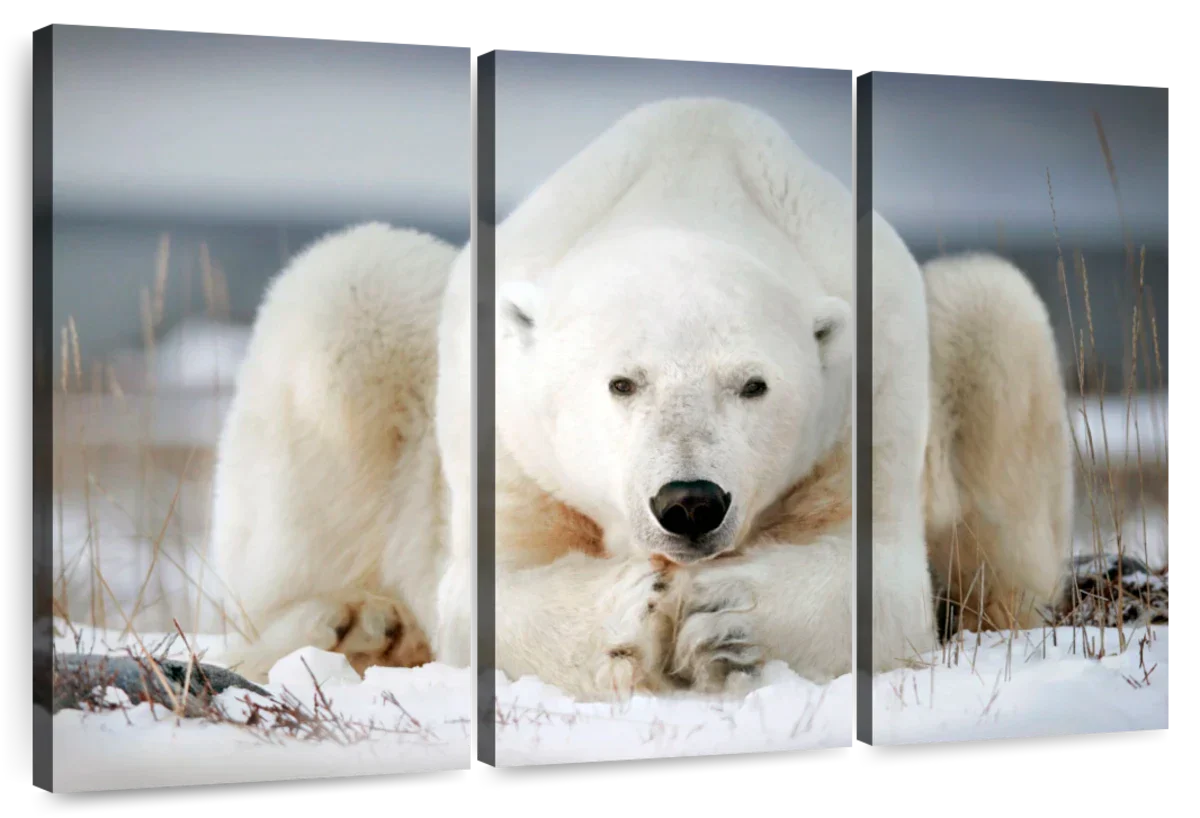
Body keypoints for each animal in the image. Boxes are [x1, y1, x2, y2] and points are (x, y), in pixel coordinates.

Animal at [491, 97, 910, 702]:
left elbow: (885, 574)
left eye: (753, 385)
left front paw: (723, 616)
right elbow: (491, 583)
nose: (690, 503)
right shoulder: (511, 442)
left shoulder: (872, 391)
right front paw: (631, 610)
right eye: (623, 383)